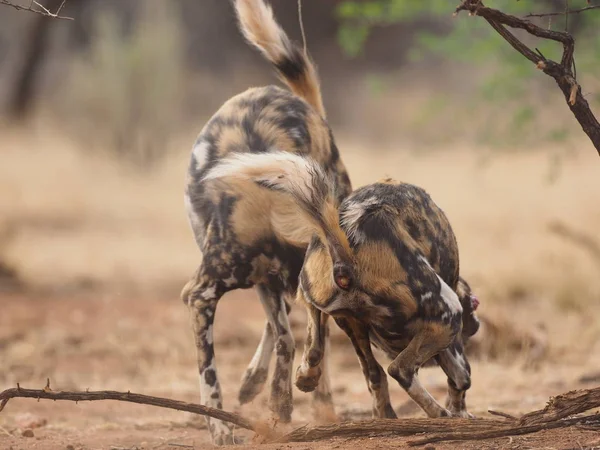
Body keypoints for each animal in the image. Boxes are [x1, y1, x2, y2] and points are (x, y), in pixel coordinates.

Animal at [183, 0, 352, 442]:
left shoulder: (297, 290)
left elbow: (296, 340)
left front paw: (285, 401)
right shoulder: (201, 294)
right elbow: (210, 373)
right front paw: (220, 427)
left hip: (273, 285)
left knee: (281, 331)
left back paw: (287, 391)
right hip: (262, 284)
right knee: (279, 331)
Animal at [205, 153, 478, 420]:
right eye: (474, 304)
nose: (474, 326)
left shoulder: (351, 322)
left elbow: (369, 372)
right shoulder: (450, 340)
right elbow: (461, 382)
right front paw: (459, 412)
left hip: (316, 295)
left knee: (334, 356)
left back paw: (314, 380)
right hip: (448, 313)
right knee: (400, 369)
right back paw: (439, 413)